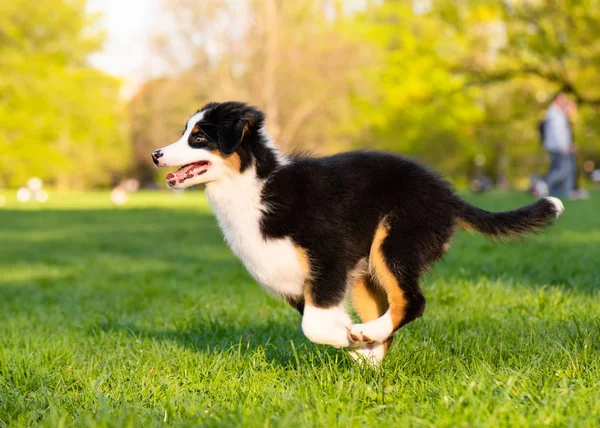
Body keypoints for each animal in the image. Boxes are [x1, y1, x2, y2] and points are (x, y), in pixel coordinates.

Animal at [152, 101, 564, 364]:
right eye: (185, 132)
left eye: (199, 137)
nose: (156, 154)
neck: (253, 186)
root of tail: (448, 195)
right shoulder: (298, 283)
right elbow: (323, 322)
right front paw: (359, 348)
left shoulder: (328, 258)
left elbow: (313, 327)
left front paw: (354, 339)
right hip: (369, 275)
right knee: (392, 309)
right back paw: (372, 347)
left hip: (394, 242)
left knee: (412, 301)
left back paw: (369, 334)